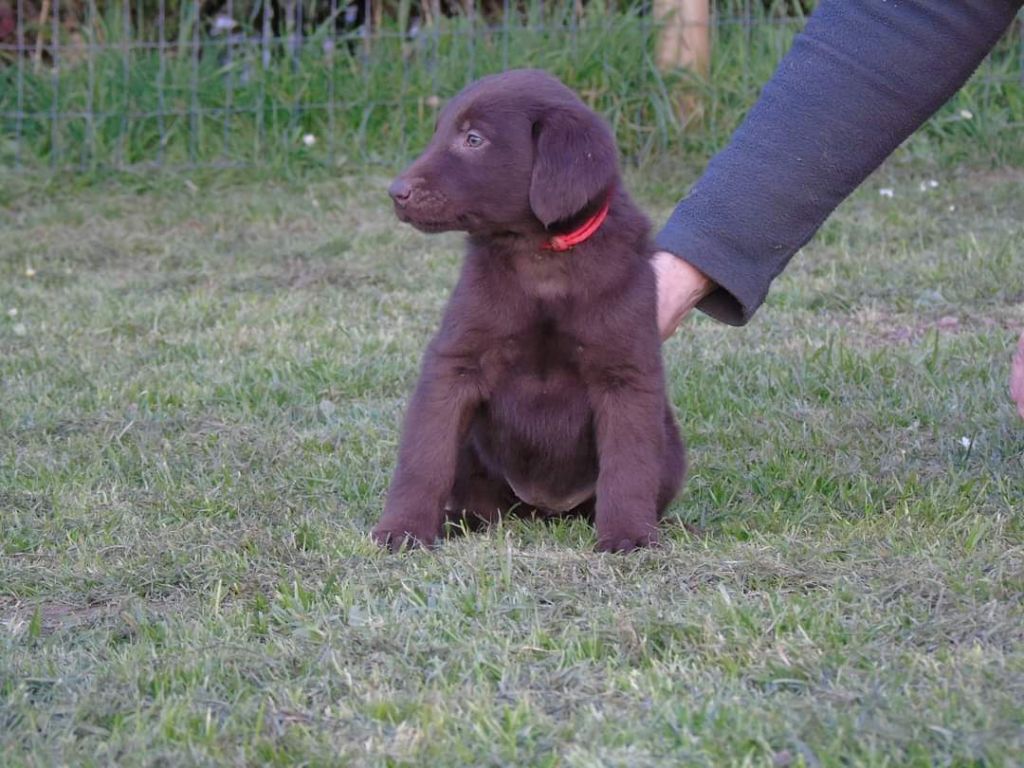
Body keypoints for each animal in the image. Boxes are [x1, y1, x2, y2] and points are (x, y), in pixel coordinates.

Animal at [371, 69, 685, 553]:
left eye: (474, 139)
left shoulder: (625, 371)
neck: (539, 255)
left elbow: (629, 464)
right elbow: (424, 456)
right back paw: (459, 519)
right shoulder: (455, 362)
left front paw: (629, 536)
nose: (395, 192)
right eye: (439, 133)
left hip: (669, 442)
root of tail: (544, 509)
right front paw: (403, 528)